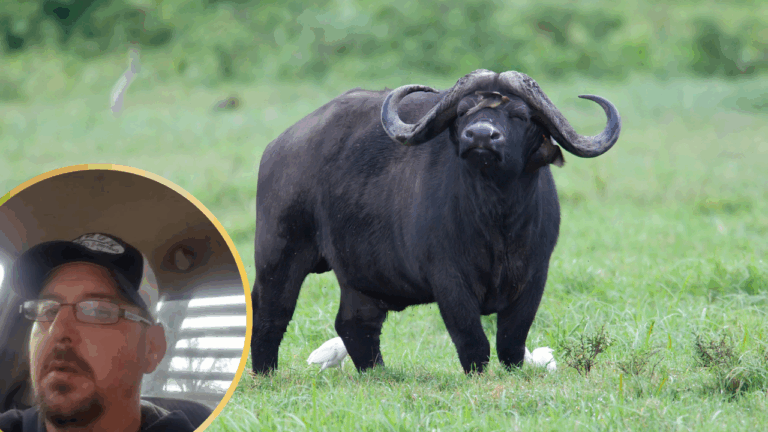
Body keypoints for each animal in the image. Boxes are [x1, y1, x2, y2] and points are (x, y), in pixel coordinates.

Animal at [251, 69, 621, 374]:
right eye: (464, 111)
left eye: (520, 115)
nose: (481, 136)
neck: (496, 222)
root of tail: (278, 148)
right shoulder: (448, 278)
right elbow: (473, 340)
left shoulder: (534, 275)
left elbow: (511, 341)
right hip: (279, 253)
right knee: (270, 312)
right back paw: (264, 372)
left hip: (359, 278)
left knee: (355, 325)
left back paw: (378, 373)